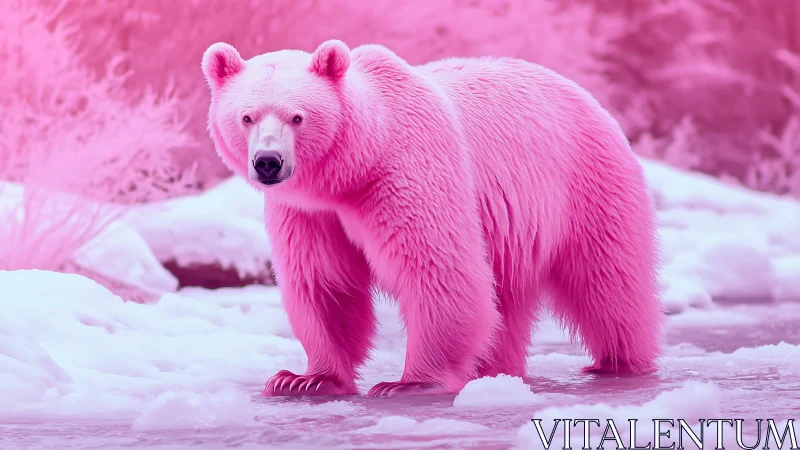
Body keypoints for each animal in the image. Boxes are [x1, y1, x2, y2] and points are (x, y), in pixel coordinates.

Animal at [201, 39, 665, 398]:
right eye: (246, 116)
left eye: (298, 116)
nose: (268, 162)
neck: (354, 166)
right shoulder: (309, 212)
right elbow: (324, 280)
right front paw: (303, 379)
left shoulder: (406, 171)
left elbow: (435, 267)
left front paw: (408, 384)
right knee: (507, 300)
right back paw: (494, 371)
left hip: (584, 180)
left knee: (607, 277)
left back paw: (618, 364)